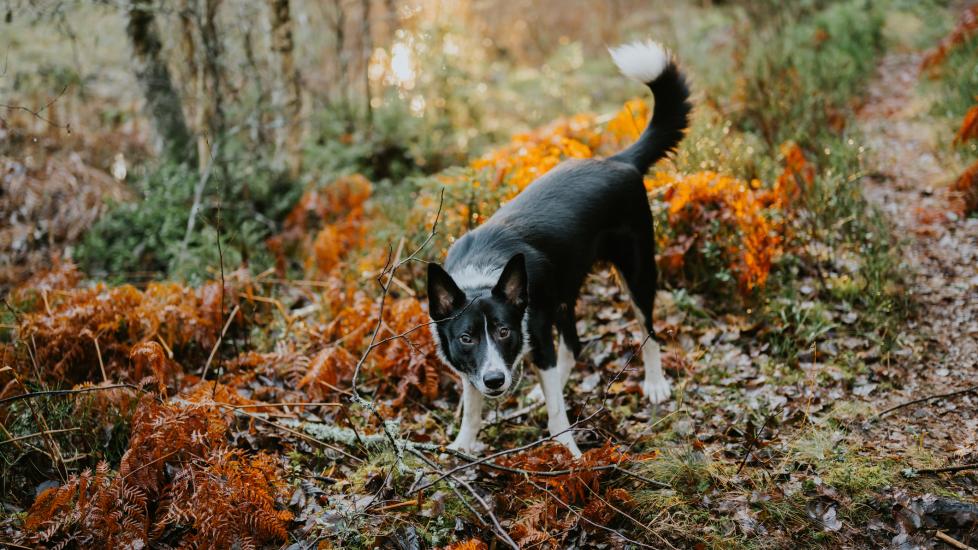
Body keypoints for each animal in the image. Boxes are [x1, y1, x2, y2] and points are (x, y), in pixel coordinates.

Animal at [424, 41, 692, 460]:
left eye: (503, 331)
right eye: (466, 338)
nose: (496, 380)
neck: (482, 277)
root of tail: (617, 161)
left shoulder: (532, 329)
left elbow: (556, 412)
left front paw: (567, 451)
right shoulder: (475, 362)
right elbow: (472, 404)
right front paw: (464, 444)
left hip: (637, 271)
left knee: (647, 328)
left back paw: (655, 382)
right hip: (562, 290)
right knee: (572, 345)